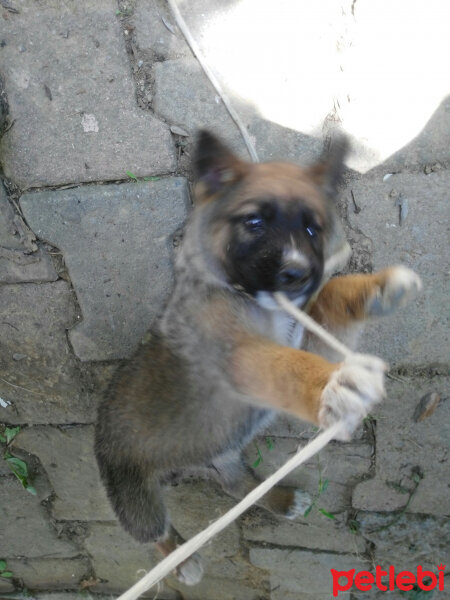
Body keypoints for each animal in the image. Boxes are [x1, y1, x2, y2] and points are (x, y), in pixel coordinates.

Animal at [95, 130, 422, 580]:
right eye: (254, 222)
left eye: (312, 228)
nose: (298, 275)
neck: (250, 299)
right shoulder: (241, 357)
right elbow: (289, 368)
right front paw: (335, 386)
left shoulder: (303, 333)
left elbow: (329, 297)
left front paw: (373, 290)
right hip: (135, 499)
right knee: (154, 532)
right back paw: (183, 562)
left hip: (222, 452)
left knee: (235, 485)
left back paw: (280, 501)